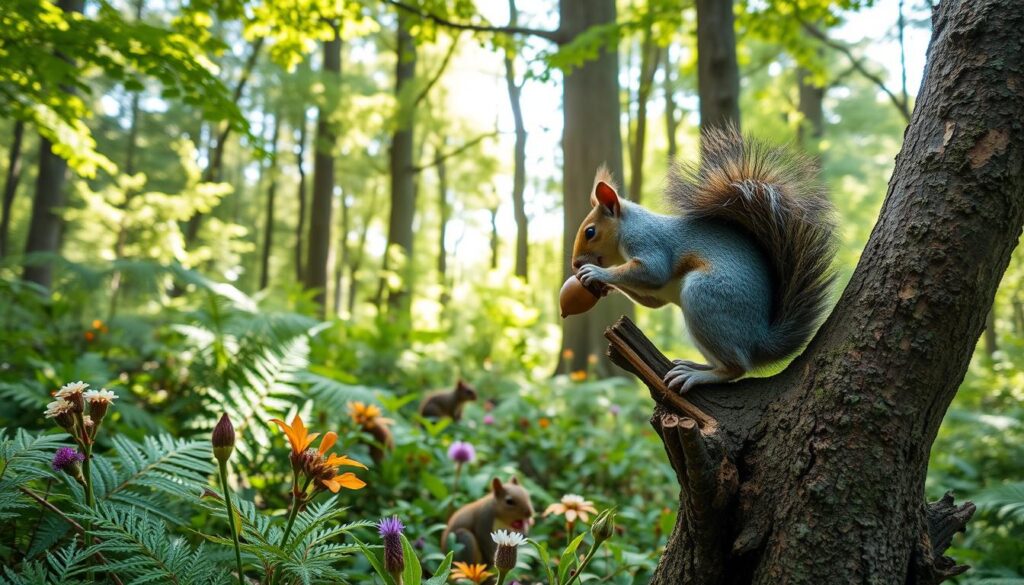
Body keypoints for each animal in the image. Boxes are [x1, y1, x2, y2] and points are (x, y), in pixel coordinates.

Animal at [572, 127, 836, 393]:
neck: (628, 226)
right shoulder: (654, 293)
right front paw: (604, 287)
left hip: (703, 297)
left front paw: (596, 273)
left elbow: (653, 271)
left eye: (590, 232)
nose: (575, 264)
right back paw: (694, 365)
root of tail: (759, 340)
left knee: (736, 368)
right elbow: (652, 301)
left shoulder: (648, 241)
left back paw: (696, 375)